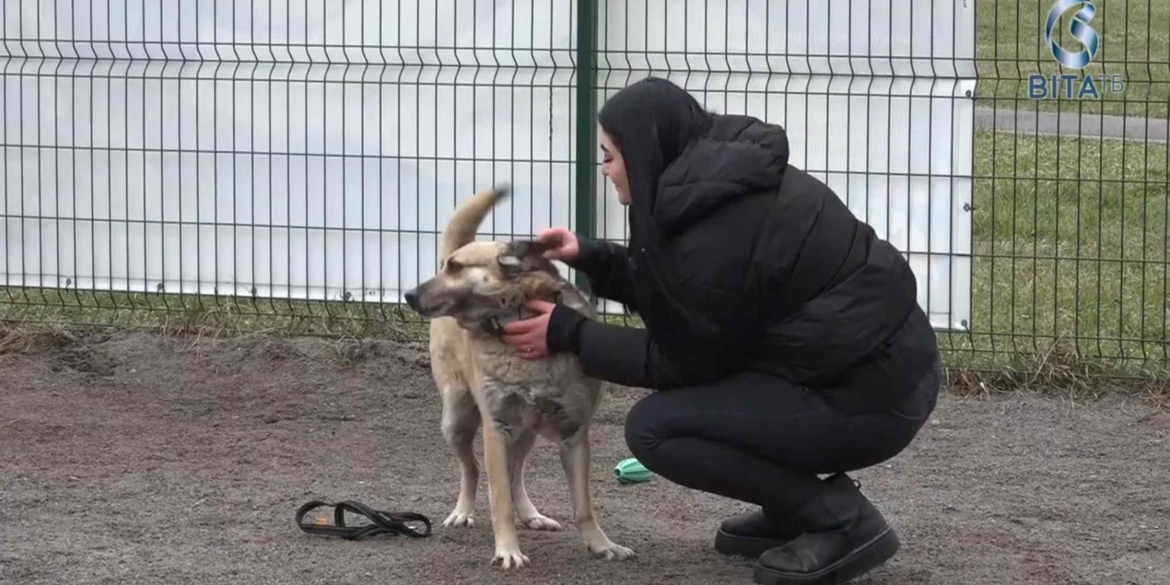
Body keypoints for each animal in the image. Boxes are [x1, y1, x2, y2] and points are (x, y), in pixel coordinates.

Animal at [404, 186, 641, 566]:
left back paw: (531, 514)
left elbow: (583, 506)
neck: (516, 318)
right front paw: (507, 550)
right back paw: (464, 511)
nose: (408, 294)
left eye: (455, 268)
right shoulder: (495, 428)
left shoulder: (574, 434)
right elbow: (498, 498)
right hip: (457, 420)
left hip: (525, 432)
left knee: (515, 473)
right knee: (472, 469)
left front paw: (601, 544)